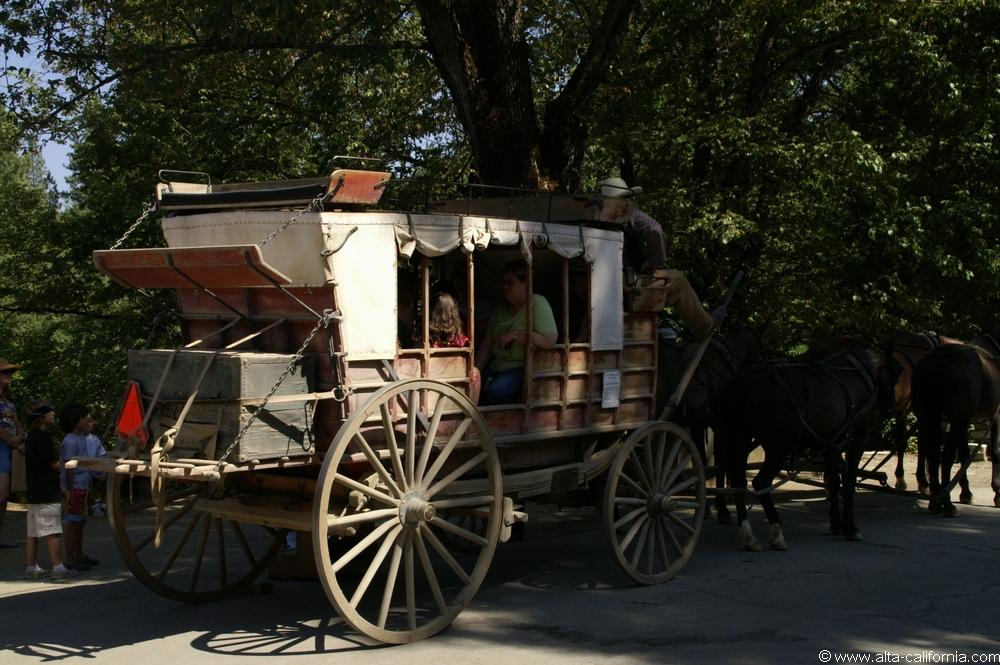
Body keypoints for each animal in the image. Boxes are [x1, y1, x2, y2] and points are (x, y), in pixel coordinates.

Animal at [712, 344, 900, 548]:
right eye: (896, 374)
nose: (892, 405)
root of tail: (745, 385)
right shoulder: (857, 436)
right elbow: (849, 480)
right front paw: (851, 527)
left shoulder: (831, 444)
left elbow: (833, 481)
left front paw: (836, 524)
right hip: (779, 447)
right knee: (760, 483)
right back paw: (776, 532)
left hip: (739, 438)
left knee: (739, 482)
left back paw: (747, 534)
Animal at [912, 332, 1000, 512]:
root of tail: (937, 358)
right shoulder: (993, 416)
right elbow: (995, 451)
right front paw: (997, 493)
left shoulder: (965, 421)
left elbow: (964, 453)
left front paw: (966, 492)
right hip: (954, 418)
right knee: (945, 457)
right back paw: (946, 503)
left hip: (931, 415)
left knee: (932, 454)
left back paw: (935, 499)